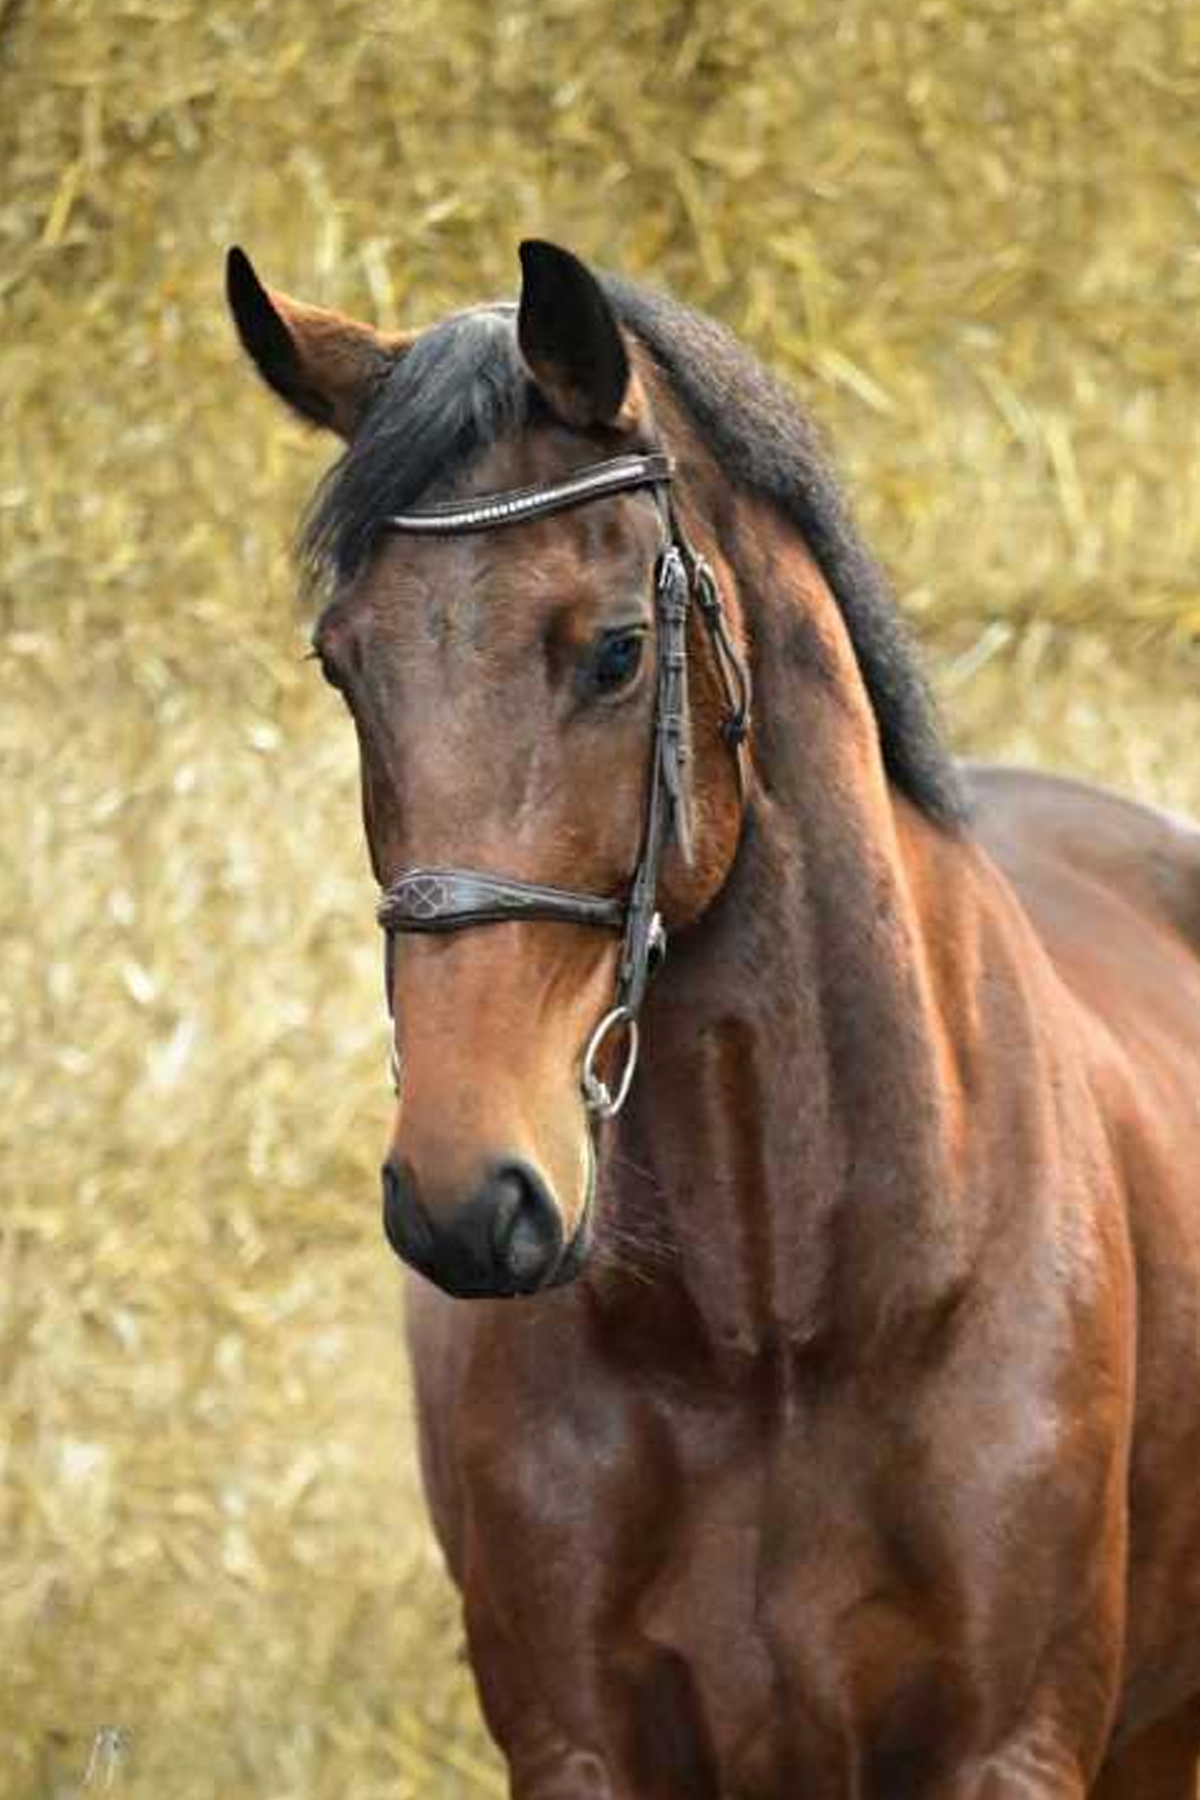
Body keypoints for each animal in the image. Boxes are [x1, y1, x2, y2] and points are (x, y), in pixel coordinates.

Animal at [227, 238, 1200, 1799]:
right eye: (342, 663)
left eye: (618, 652)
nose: (463, 1197)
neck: (779, 1330)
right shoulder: (579, 1745)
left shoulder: (1011, 1746)